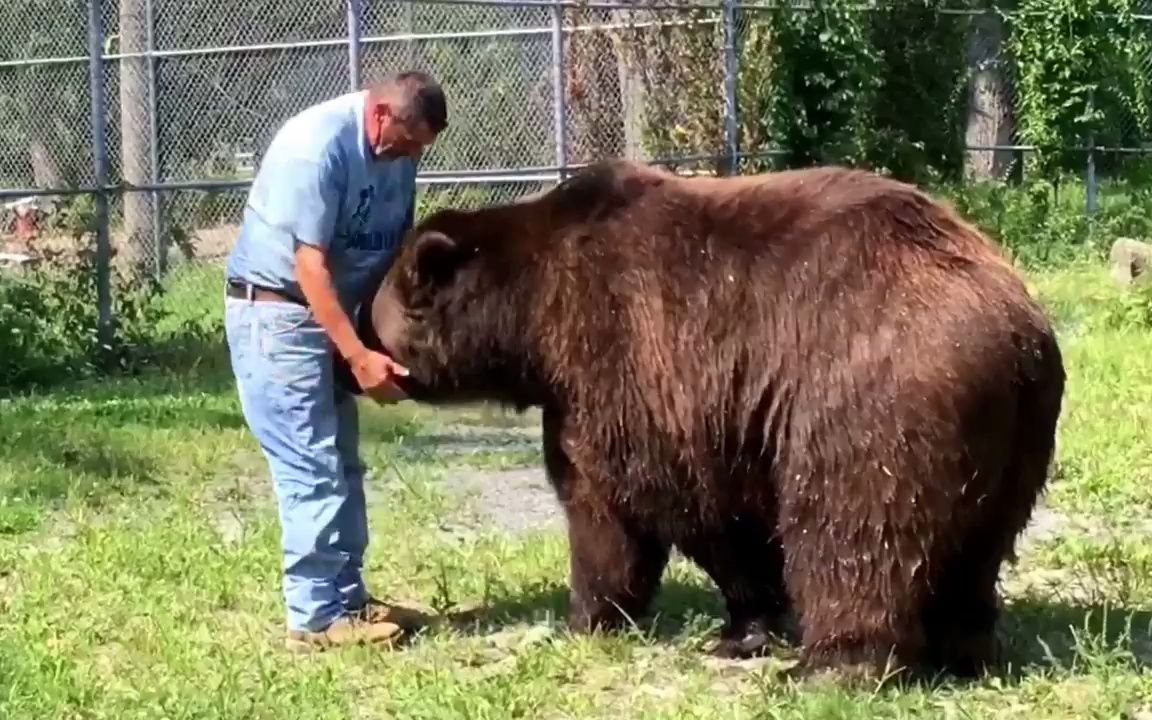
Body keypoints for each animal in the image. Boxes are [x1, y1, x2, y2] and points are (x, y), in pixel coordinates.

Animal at [336, 160, 1064, 681]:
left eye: (367, 311)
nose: (342, 363)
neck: (531, 319)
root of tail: (1018, 328)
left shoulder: (635, 364)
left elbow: (639, 504)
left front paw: (606, 616)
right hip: (1012, 438)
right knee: (976, 544)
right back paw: (965, 647)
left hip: (872, 396)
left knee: (851, 527)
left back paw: (831, 665)